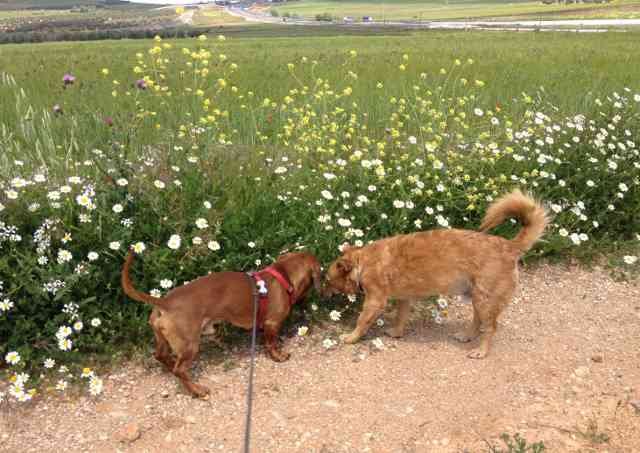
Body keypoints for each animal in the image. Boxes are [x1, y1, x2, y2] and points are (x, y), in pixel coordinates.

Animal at [121, 251, 320, 396]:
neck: (283, 275)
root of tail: (165, 302)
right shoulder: (272, 324)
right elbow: (271, 343)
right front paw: (278, 356)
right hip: (191, 344)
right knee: (180, 369)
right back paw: (197, 390)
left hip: (163, 339)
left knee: (161, 356)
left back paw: (172, 368)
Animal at [324, 189, 552, 358]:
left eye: (328, 280)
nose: (321, 293)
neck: (362, 261)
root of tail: (510, 246)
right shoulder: (404, 299)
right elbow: (400, 318)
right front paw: (397, 333)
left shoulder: (375, 301)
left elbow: (362, 321)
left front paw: (351, 337)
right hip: (477, 298)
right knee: (477, 321)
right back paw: (467, 336)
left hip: (485, 300)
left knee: (490, 327)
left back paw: (481, 350)